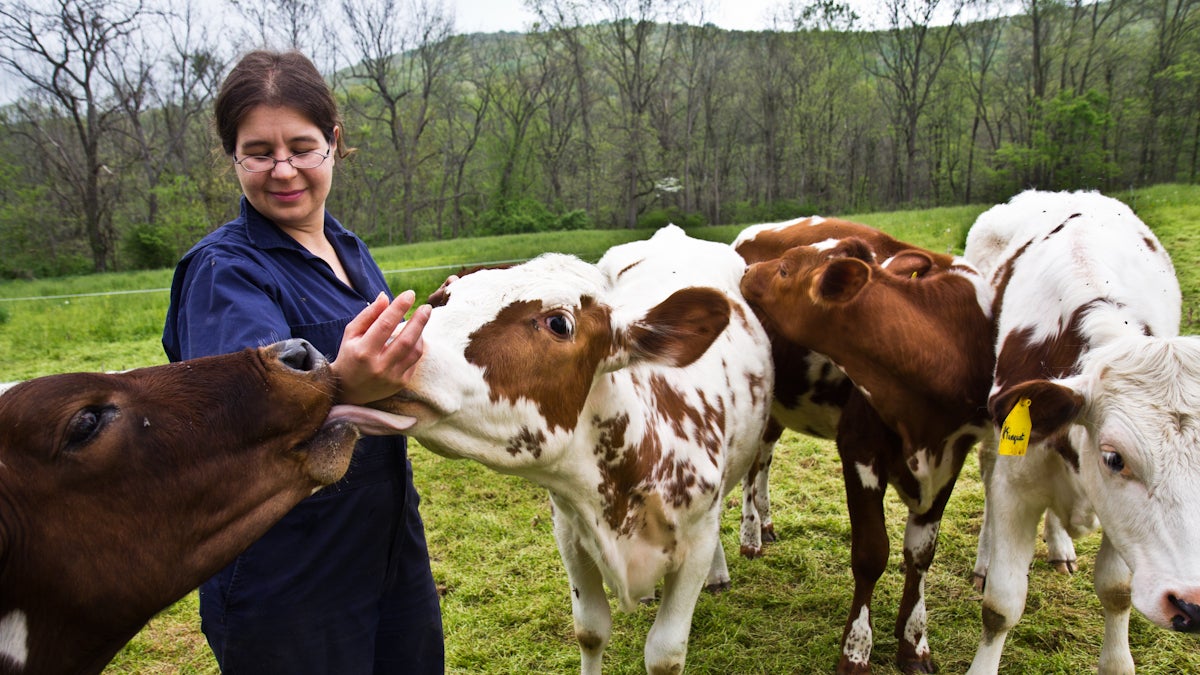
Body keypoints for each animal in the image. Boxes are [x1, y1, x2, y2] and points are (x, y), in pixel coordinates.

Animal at [350, 225, 772, 672]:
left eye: (559, 323)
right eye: (439, 301)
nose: (386, 349)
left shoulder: (694, 541)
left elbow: (665, 653)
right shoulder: (571, 534)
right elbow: (590, 630)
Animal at [739, 218, 993, 667]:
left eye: (785, 269)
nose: (750, 274)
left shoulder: (950, 459)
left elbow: (921, 554)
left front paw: (913, 640)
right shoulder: (859, 451)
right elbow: (872, 553)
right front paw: (857, 649)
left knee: (763, 461)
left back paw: (764, 524)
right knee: (751, 468)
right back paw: (750, 534)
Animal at [960, 189, 1200, 672]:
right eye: (1114, 458)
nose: (1192, 603)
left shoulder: (1120, 519)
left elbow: (1116, 590)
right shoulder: (1016, 484)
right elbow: (1001, 605)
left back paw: (1060, 545)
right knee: (988, 475)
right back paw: (985, 558)